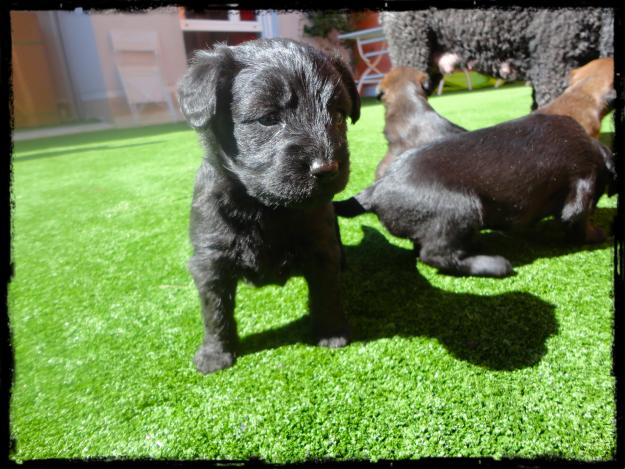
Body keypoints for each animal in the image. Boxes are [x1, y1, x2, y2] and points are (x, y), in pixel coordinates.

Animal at [178, 38, 358, 372]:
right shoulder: (210, 258)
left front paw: (331, 332)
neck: (265, 207)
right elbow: (215, 310)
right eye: (268, 119)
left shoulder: (320, 245)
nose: (327, 168)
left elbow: (326, 291)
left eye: (339, 115)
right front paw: (215, 353)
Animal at [336, 112, 616, 278]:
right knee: (435, 254)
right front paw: (597, 234)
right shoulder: (581, 184)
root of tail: (376, 188)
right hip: (463, 208)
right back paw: (494, 264)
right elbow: (577, 219)